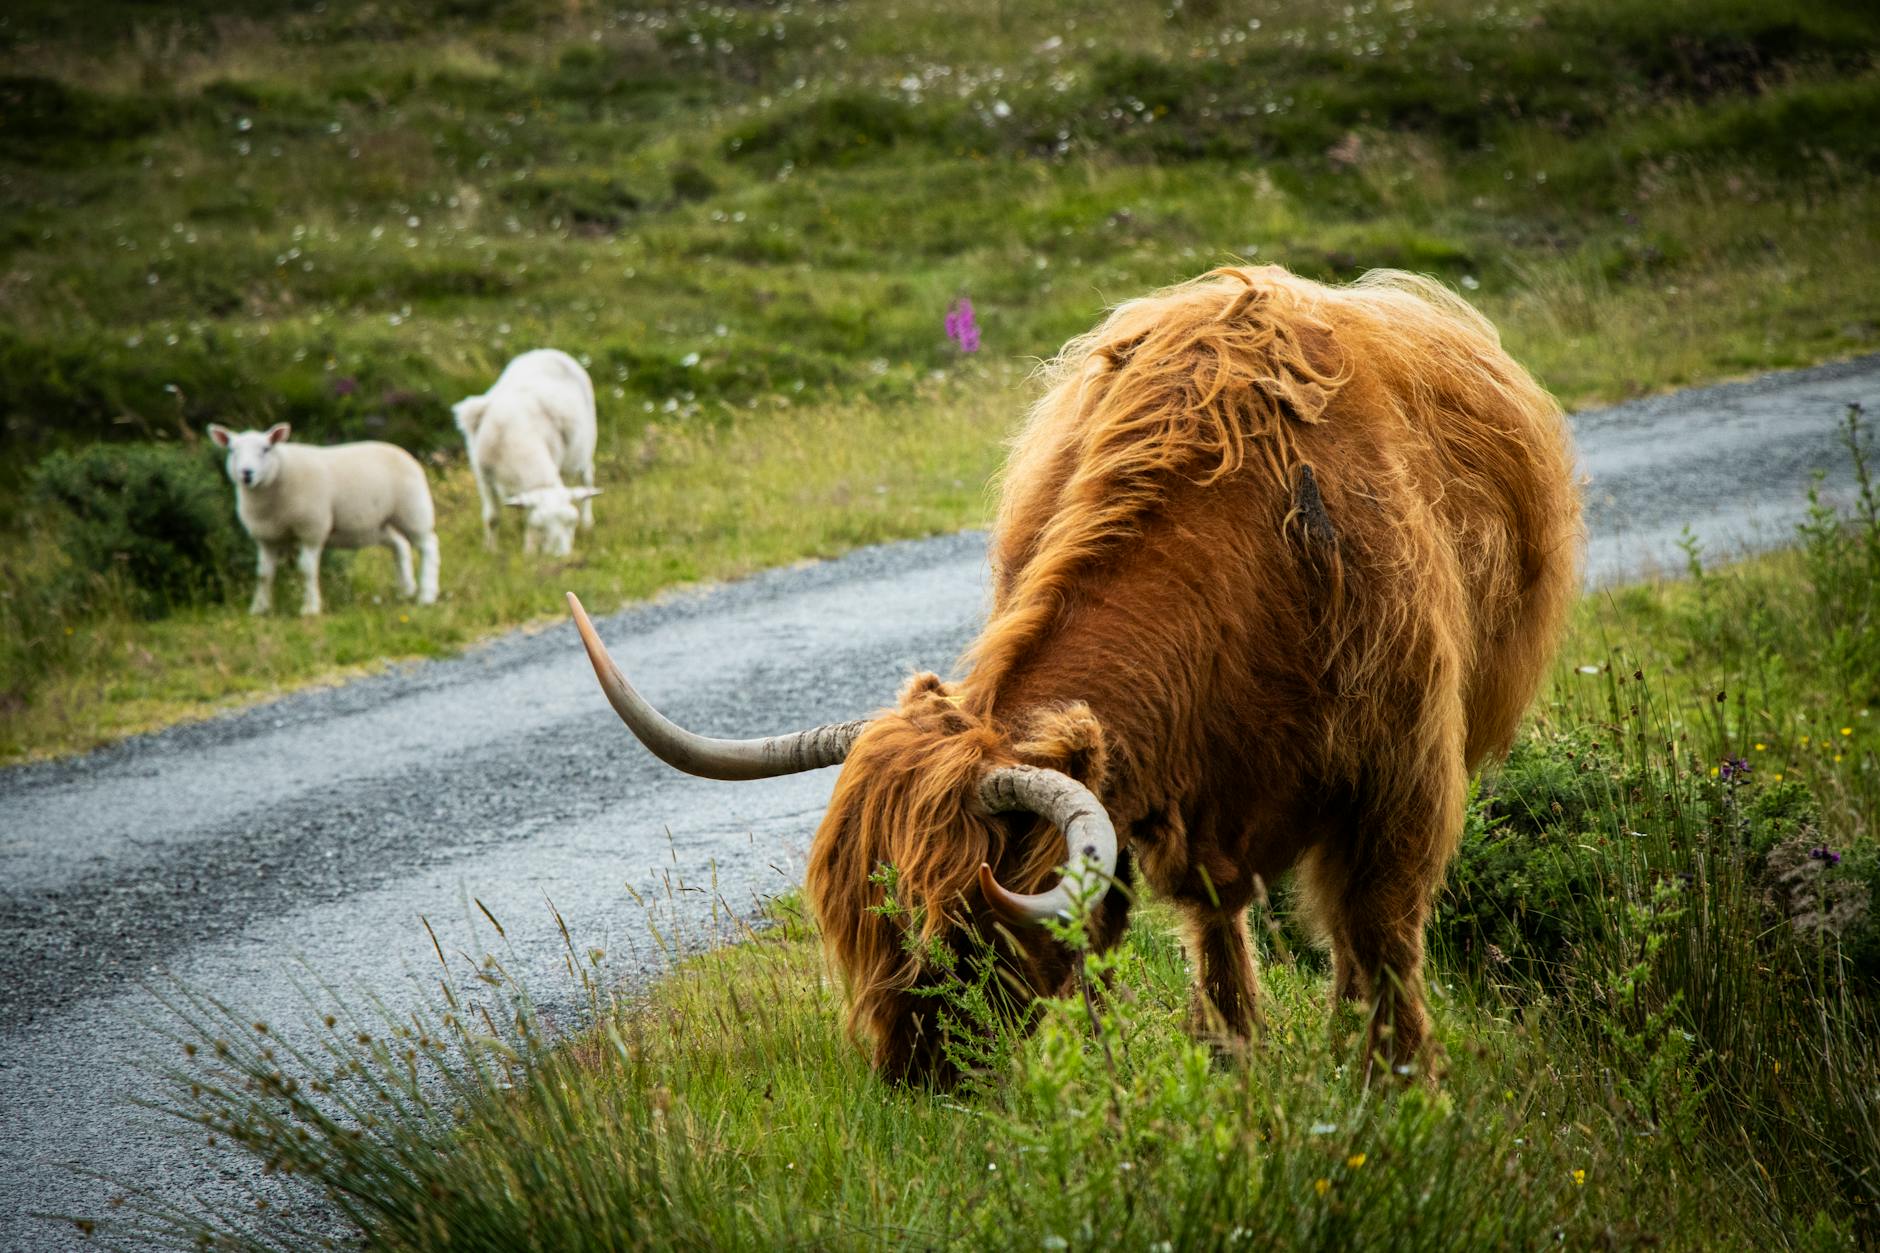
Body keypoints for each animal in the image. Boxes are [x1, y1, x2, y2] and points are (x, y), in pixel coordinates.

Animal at [567, 265, 1582, 1085]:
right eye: (856, 924)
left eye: (960, 928)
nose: (917, 1075)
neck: (1247, 557)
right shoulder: (1182, 814)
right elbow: (1205, 933)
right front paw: (1225, 1064)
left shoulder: (1401, 783)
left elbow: (1379, 936)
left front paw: (1397, 1084)